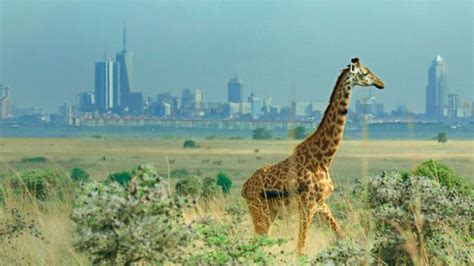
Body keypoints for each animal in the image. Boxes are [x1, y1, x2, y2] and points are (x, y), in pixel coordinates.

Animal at [243, 57, 384, 256]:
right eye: (365, 73)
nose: (381, 83)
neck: (323, 159)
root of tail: (244, 187)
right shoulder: (307, 206)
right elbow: (300, 248)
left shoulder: (321, 204)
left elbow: (342, 235)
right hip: (259, 210)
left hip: (270, 212)